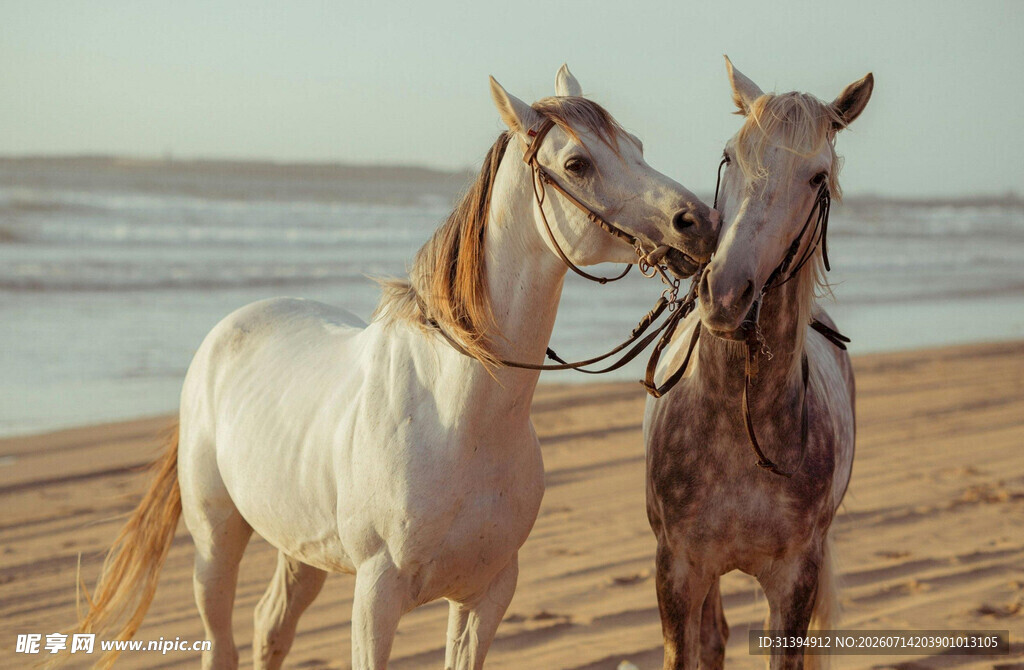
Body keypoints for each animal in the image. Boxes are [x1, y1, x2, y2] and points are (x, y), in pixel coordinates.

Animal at [75, 65, 720, 670]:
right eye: (578, 163)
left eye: (637, 144)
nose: (701, 224)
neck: (459, 418)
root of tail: (228, 330)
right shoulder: (376, 596)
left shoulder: (486, 595)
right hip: (216, 542)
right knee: (222, 638)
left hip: (301, 547)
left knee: (270, 628)